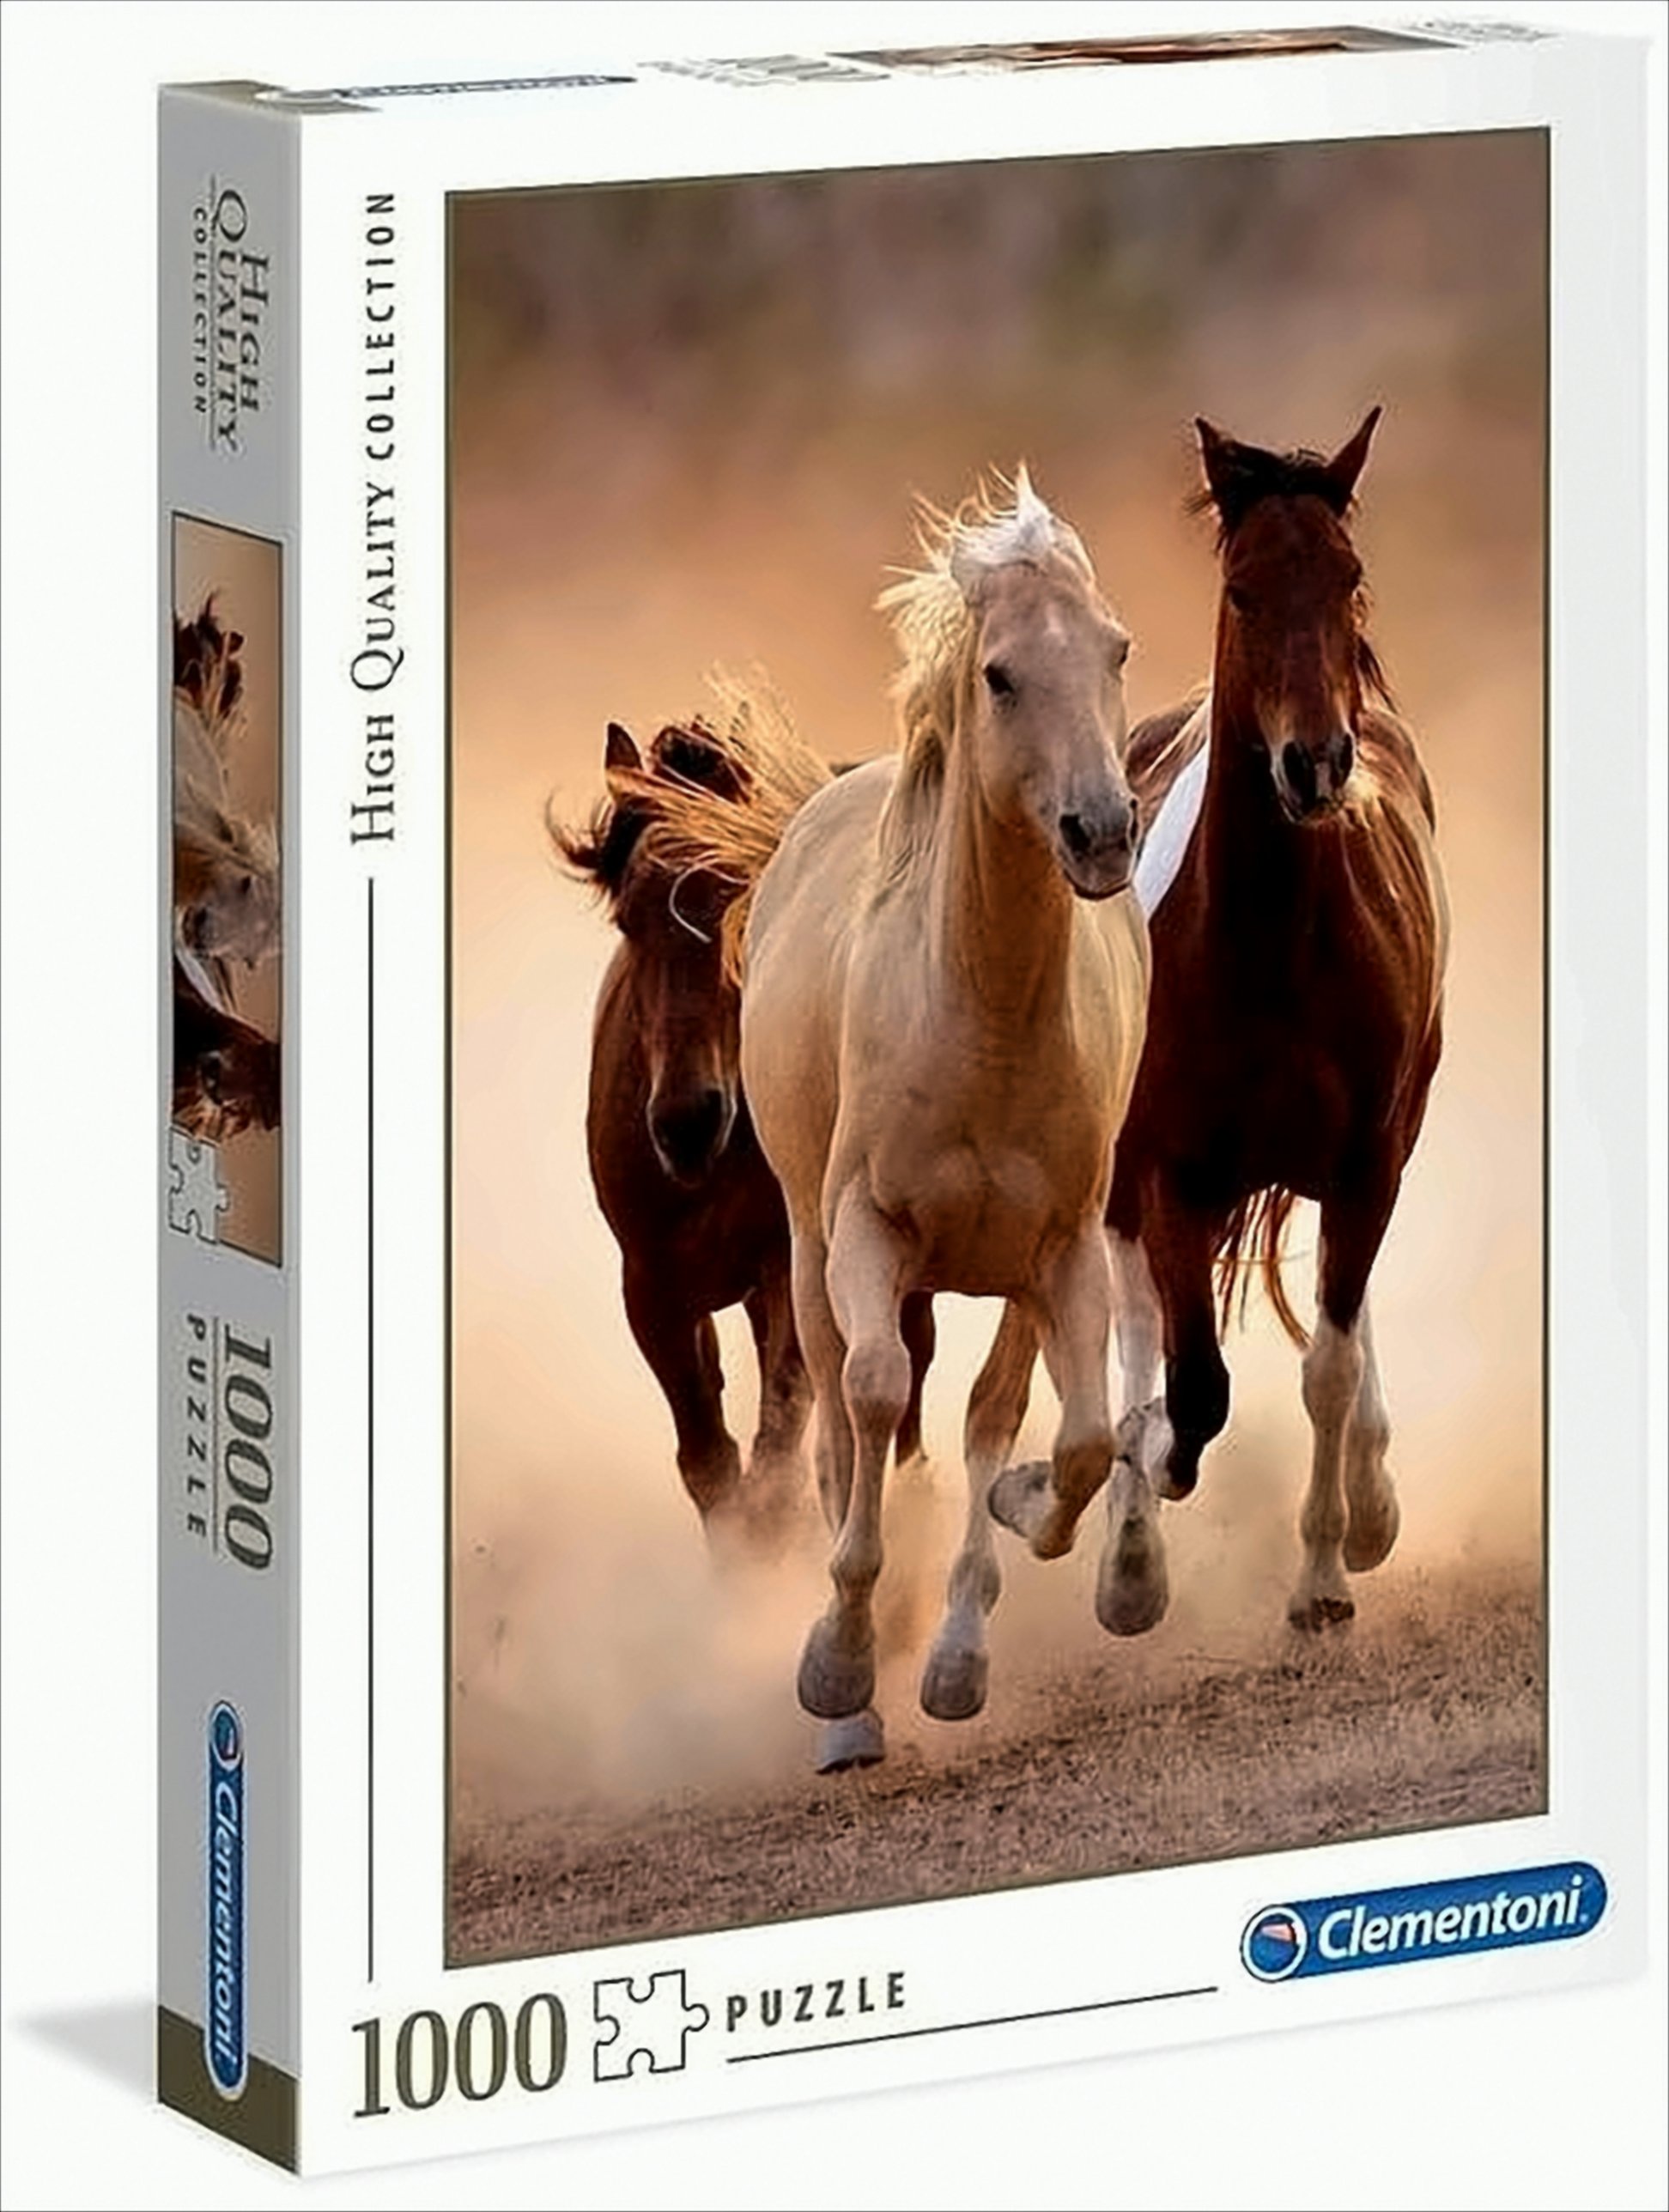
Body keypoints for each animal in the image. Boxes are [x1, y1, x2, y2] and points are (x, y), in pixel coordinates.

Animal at [554, 700, 936, 1551]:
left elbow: (775, 1461)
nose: (688, 1123)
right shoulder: (653, 1289)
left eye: (745, 898)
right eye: (629, 918)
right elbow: (711, 1465)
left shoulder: (786, 1268)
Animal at [730, 474, 1150, 1767]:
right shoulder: (865, 1232)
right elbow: (871, 1399)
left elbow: (1064, 1437)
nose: (1103, 833)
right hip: (810, 1251)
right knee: (839, 1421)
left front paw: (979, 1611)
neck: (983, 1016)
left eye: (1116, 649)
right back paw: (853, 1703)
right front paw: (838, 1666)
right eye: (1002, 675)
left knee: (989, 1414)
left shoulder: (1062, 1251)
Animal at [996, 410, 1447, 1636]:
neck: (1273, 947)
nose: (1316, 763)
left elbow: (1324, 1362)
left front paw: (1327, 1573)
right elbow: (1191, 1384)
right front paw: (1129, 1505)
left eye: (1348, 578)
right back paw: (1127, 1549)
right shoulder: (1168, 1172)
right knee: (1146, 1332)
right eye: (1243, 590)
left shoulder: (1366, 1161)